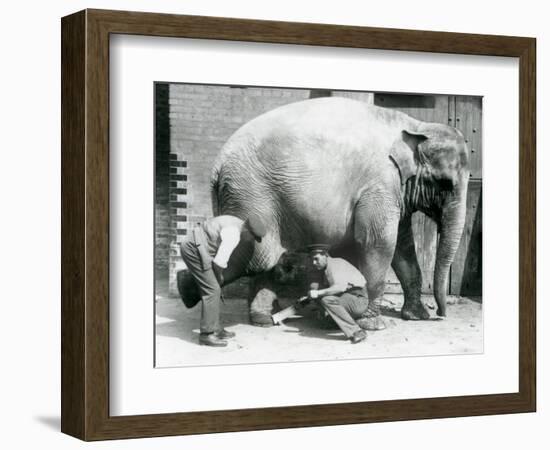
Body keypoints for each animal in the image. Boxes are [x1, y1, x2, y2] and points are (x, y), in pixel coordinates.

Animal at [210, 97, 470, 324]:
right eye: (445, 183)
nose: (440, 314)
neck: (416, 126)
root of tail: (217, 164)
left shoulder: (395, 190)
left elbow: (403, 247)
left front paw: (416, 316)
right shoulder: (379, 185)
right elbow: (379, 243)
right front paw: (373, 323)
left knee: (265, 259)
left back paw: (264, 319)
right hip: (250, 193)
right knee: (258, 256)